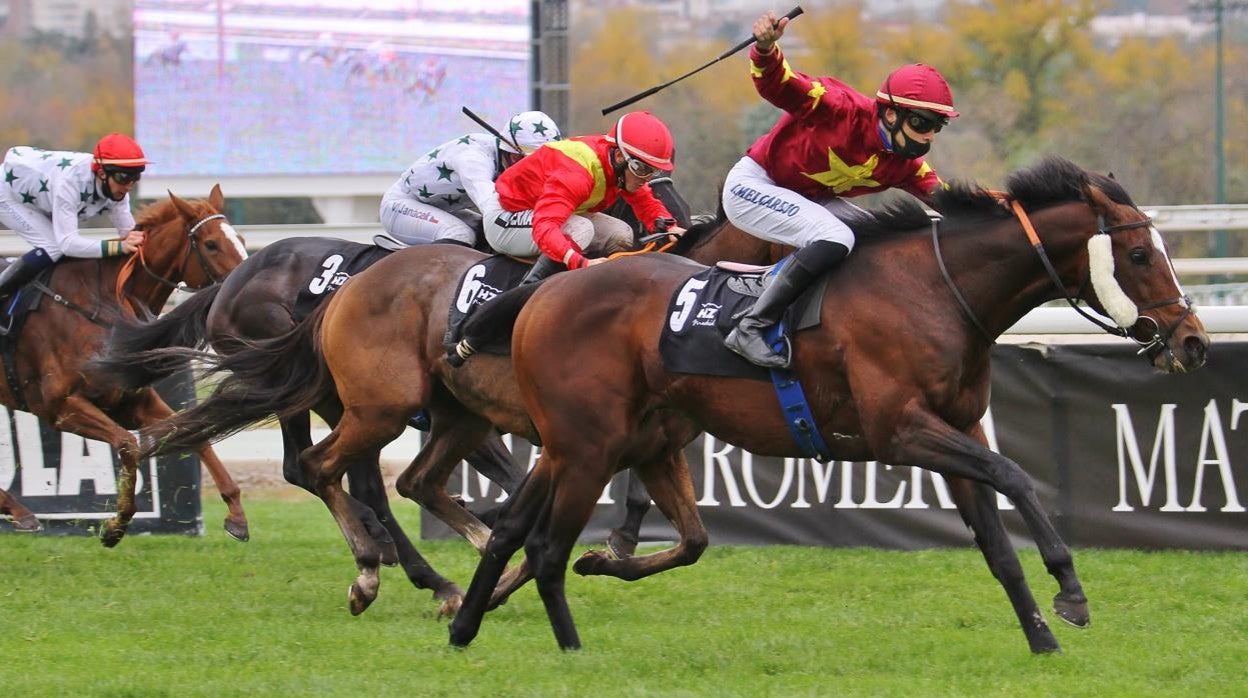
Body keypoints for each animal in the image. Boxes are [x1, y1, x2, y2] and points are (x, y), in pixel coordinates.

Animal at [0, 187, 250, 546]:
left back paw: (19, 511)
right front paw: (115, 525)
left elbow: (194, 435)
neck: (99, 306)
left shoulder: (130, 402)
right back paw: (19, 511)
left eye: (240, 238)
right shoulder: (58, 407)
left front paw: (236, 514)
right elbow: (127, 444)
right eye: (211, 244)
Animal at [441, 158, 1208, 654]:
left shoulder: (958, 428)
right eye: (1141, 255)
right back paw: (564, 643)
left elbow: (997, 545)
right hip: (589, 446)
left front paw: (1042, 636)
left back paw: (467, 623)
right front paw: (1070, 592)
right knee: (544, 545)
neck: (936, 289)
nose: (1194, 342)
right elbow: (1016, 476)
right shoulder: (902, 431)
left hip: (591, 442)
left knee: (514, 530)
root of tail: (547, 288)